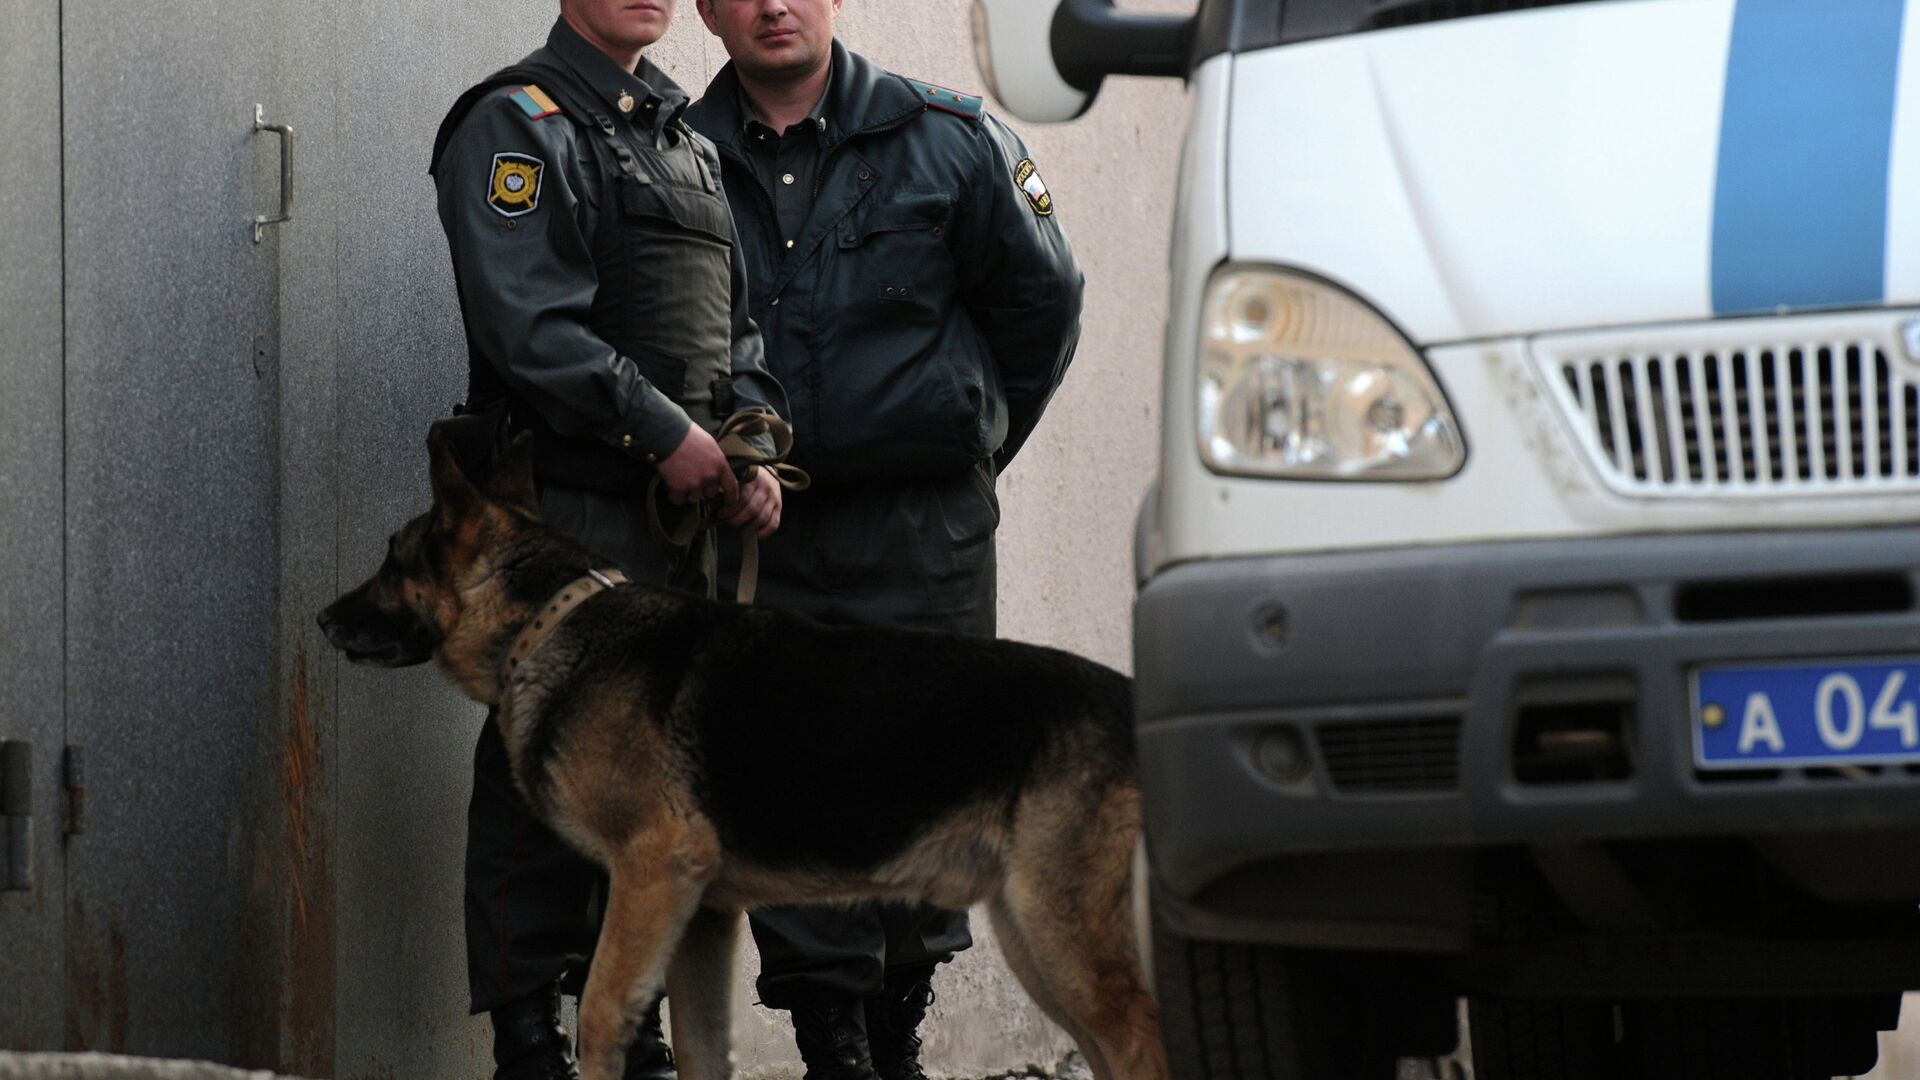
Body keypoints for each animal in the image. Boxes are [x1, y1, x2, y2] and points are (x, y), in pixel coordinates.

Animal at [314, 426, 1167, 1076]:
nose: (322, 618)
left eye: (392, 559)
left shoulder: (654, 871)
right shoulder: (704, 912)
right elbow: (698, 1047)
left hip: (1060, 936)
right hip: (1032, 936)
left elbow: (600, 1013)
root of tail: (1131, 695)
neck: (555, 621)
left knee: (1141, 1040)